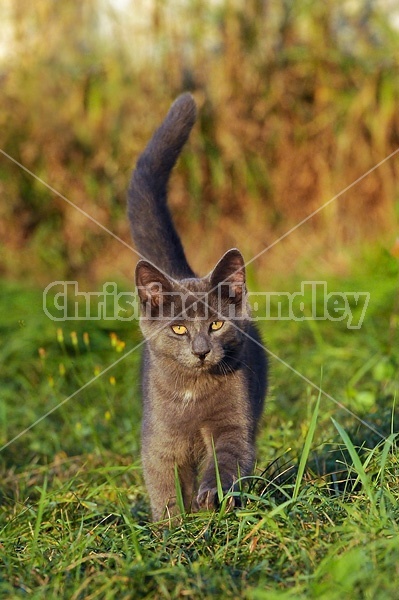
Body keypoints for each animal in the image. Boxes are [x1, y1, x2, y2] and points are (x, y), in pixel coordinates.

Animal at [126, 94, 268, 520]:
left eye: (217, 325)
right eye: (178, 329)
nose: (202, 351)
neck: (193, 392)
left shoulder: (235, 422)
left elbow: (228, 458)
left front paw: (211, 498)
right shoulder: (159, 436)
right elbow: (163, 482)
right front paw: (172, 526)